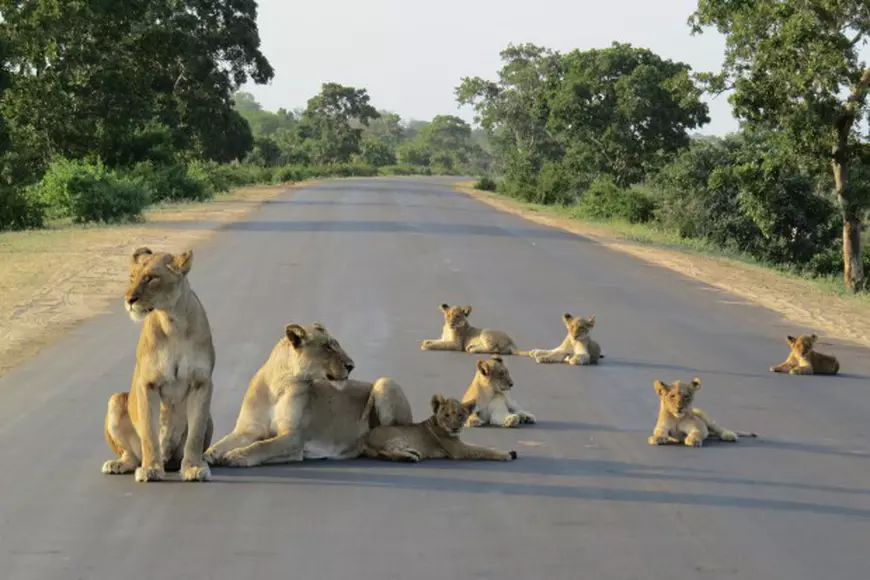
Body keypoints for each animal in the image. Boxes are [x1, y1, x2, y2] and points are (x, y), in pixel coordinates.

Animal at [102, 247, 215, 483]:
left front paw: (193, 467)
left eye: (151, 278)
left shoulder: (202, 383)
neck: (173, 322)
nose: (129, 299)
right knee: (131, 455)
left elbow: (195, 434)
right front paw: (151, 468)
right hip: (115, 399)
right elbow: (149, 432)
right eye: (132, 277)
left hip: (210, 416)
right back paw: (118, 464)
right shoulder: (147, 384)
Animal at [204, 322, 413, 468]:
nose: (351, 365)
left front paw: (236, 455)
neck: (278, 385)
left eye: (334, 345)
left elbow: (262, 446)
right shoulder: (248, 430)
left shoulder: (294, 437)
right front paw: (207, 455)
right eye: (327, 346)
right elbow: (223, 442)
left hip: (385, 382)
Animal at [360, 394, 518, 462]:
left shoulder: (459, 443)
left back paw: (412, 453)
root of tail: (365, 438)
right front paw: (506, 454)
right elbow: (482, 450)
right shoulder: (458, 450)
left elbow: (481, 446)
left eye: (461, 415)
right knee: (386, 452)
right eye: (447, 415)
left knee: (385, 453)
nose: (454, 428)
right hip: (397, 437)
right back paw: (410, 457)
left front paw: (510, 451)